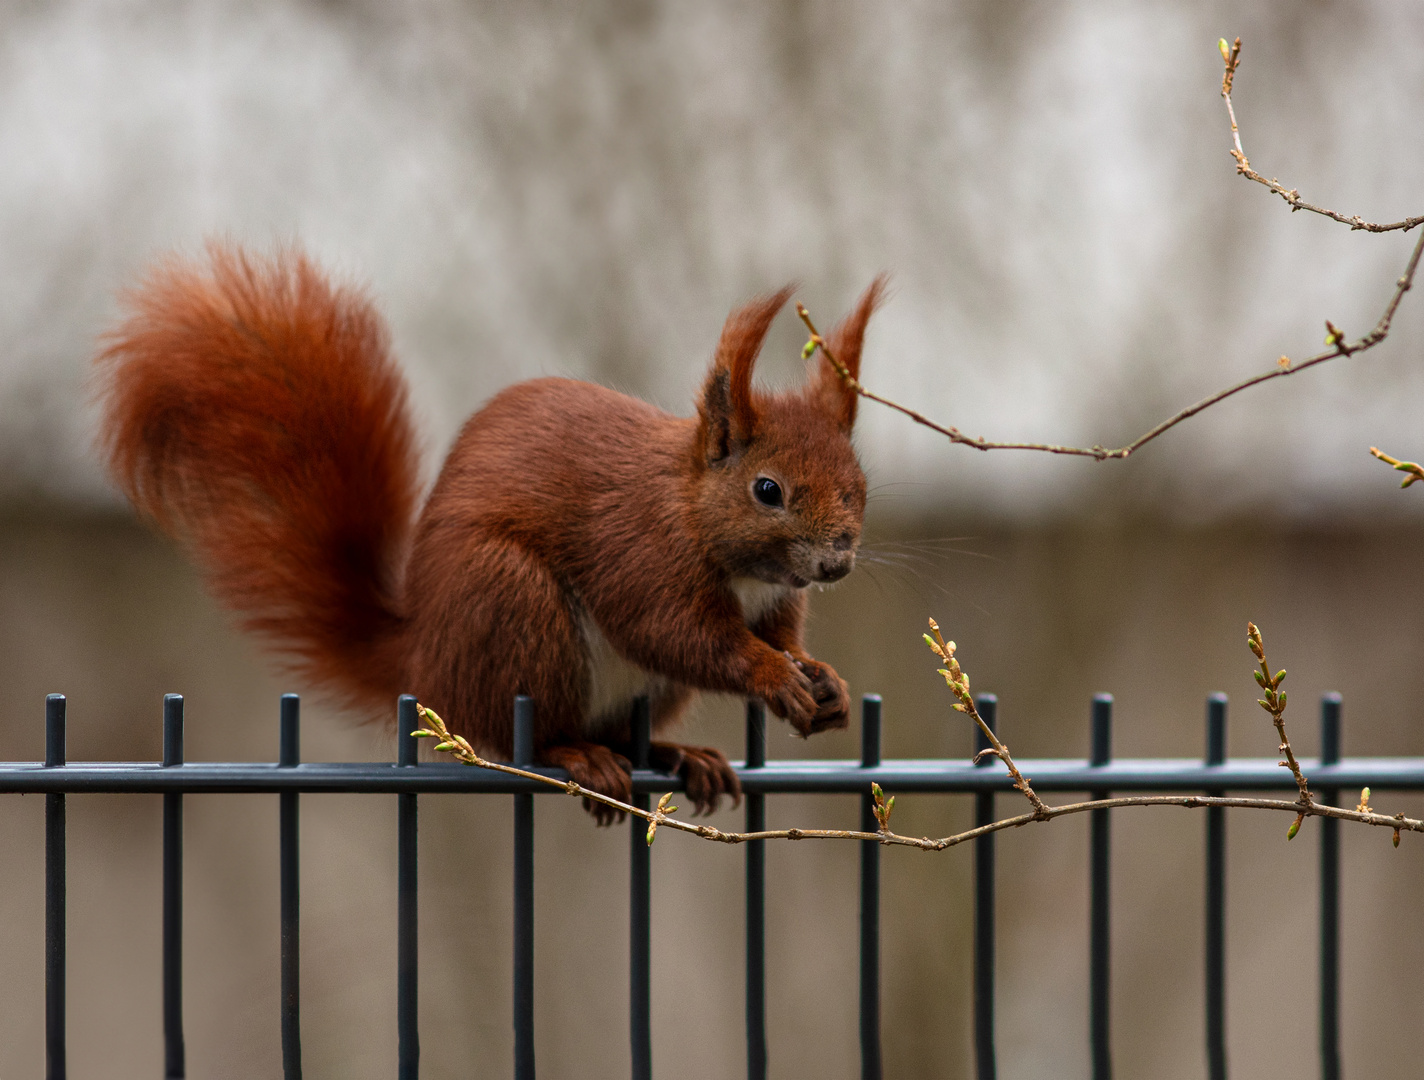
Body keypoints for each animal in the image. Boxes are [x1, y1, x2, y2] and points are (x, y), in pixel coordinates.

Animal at [94, 245, 877, 820]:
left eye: (858, 481)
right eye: (768, 490)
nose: (838, 559)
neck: (694, 512)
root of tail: (423, 660)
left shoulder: (771, 599)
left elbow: (779, 636)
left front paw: (825, 679)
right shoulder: (641, 554)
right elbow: (680, 635)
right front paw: (771, 674)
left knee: (623, 734)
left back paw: (678, 755)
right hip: (513, 605)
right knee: (518, 739)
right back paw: (578, 757)